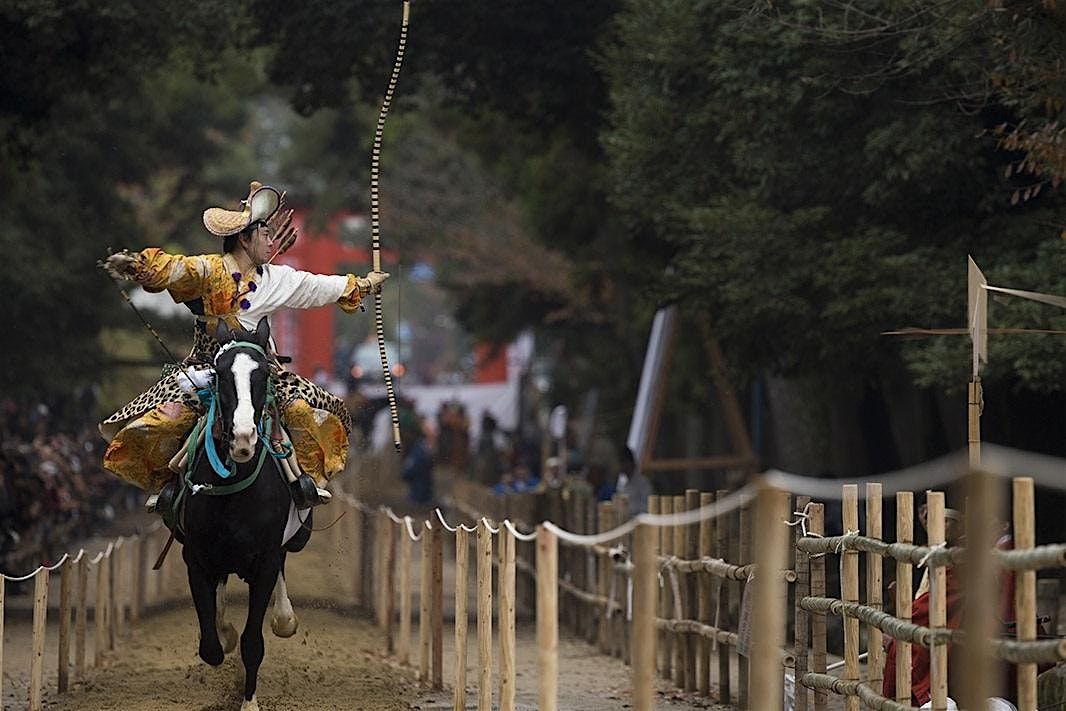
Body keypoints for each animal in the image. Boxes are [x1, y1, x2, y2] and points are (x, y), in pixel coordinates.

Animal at [179, 316, 311, 711]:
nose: (242, 438)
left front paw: (249, 701)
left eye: (263, 374)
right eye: (220, 373)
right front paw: (223, 635)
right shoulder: (197, 558)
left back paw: (284, 617)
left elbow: (254, 643)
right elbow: (211, 645)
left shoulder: (265, 559)